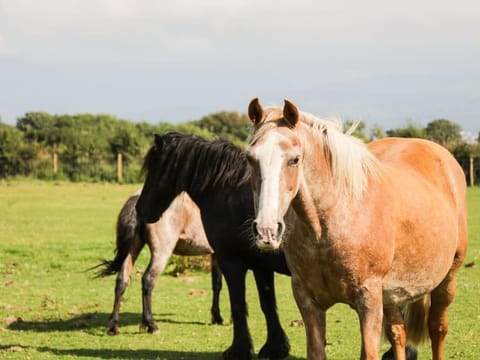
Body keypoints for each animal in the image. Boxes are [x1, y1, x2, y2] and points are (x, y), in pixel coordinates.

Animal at [93, 190, 224, 336]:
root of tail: (138, 197)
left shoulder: (216, 254)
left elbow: (216, 284)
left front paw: (216, 317)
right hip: (161, 252)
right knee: (148, 280)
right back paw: (151, 325)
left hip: (133, 249)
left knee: (122, 281)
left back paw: (113, 326)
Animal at [136, 133, 292, 360]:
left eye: (154, 167)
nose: (140, 209)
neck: (229, 192)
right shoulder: (261, 265)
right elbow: (267, 303)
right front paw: (275, 347)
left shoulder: (231, 261)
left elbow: (238, 305)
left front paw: (239, 349)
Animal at [246, 98, 466, 360]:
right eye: (250, 158)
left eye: (295, 159)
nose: (266, 230)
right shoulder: (308, 301)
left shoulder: (369, 301)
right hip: (391, 295)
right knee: (398, 333)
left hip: (447, 278)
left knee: (437, 329)